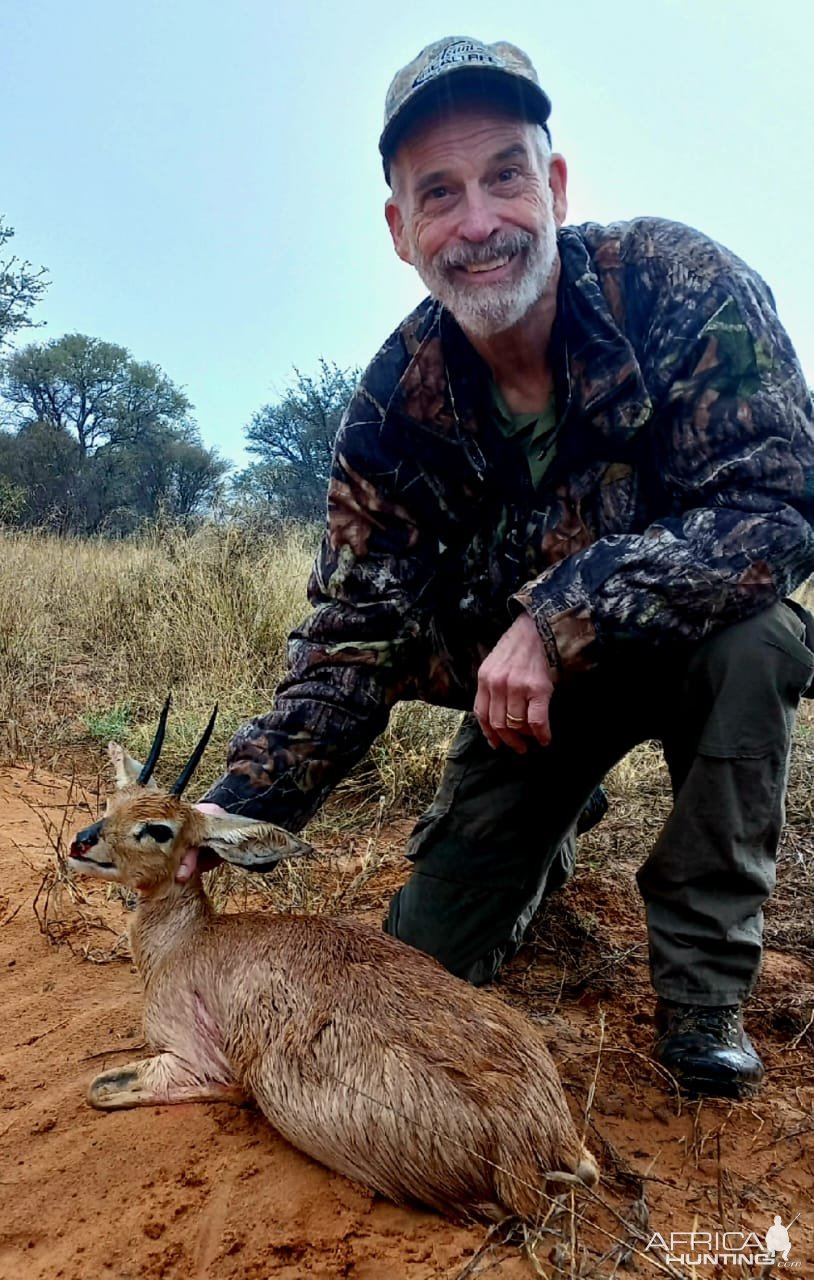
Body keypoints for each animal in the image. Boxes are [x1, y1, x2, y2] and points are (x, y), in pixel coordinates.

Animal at [70, 706, 598, 1223]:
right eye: (113, 803)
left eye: (159, 829)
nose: (82, 841)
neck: (188, 940)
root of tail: (540, 1142)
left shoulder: (193, 1059)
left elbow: (100, 1086)